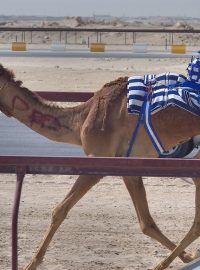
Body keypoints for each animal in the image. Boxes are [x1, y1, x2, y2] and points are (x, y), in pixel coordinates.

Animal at [0, 63, 200, 270]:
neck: (80, 121)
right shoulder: (128, 168)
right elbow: (146, 223)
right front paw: (188, 256)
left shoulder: (97, 161)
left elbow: (59, 210)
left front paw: (30, 264)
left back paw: (162, 264)